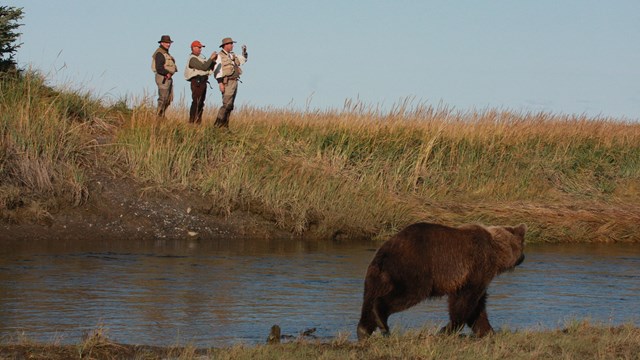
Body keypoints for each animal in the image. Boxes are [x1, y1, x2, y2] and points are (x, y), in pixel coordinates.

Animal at [356, 221, 524, 338]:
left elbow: (478, 307)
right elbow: (464, 300)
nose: (523, 258)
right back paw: (382, 320)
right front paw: (447, 329)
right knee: (407, 293)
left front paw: (487, 331)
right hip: (414, 269)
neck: (497, 251)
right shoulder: (476, 267)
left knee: (369, 299)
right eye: (522, 246)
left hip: (376, 276)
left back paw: (364, 330)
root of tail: (385, 252)